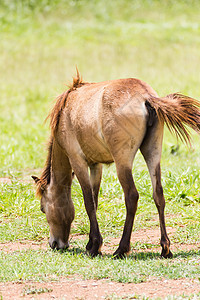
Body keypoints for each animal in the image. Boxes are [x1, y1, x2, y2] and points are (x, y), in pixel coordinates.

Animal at [31, 71, 200, 258]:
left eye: (43, 209)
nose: (55, 244)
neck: (67, 109)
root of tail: (146, 97)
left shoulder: (78, 162)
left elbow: (88, 201)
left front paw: (94, 246)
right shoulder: (95, 165)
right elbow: (95, 201)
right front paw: (92, 244)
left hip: (122, 162)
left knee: (131, 196)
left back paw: (121, 249)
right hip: (153, 154)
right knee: (158, 195)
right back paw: (165, 248)